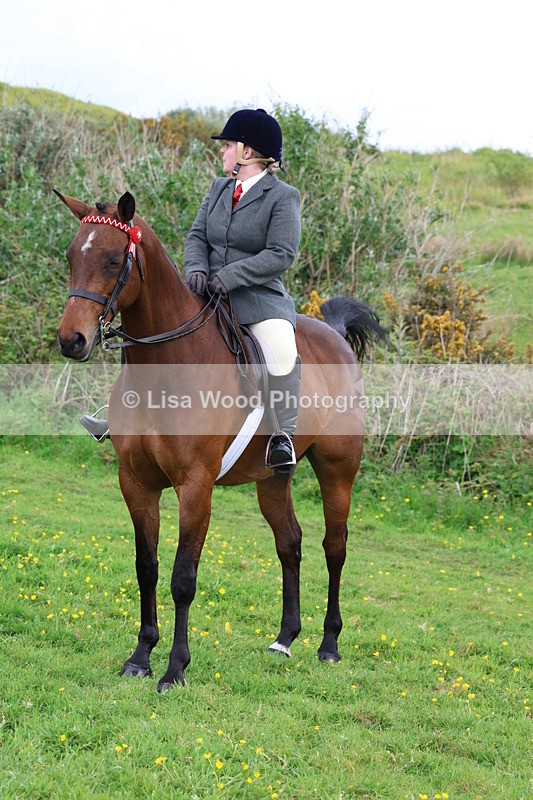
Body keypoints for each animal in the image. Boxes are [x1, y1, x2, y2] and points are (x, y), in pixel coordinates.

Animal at [54, 189, 387, 692]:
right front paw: (140, 656)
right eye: (73, 256)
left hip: (338, 470)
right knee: (290, 542)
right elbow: (147, 568)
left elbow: (182, 578)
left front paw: (174, 669)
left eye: (114, 261)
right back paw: (284, 640)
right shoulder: (136, 483)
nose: (71, 341)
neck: (167, 367)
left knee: (335, 547)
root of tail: (333, 335)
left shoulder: (195, 487)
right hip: (273, 477)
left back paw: (329, 645)